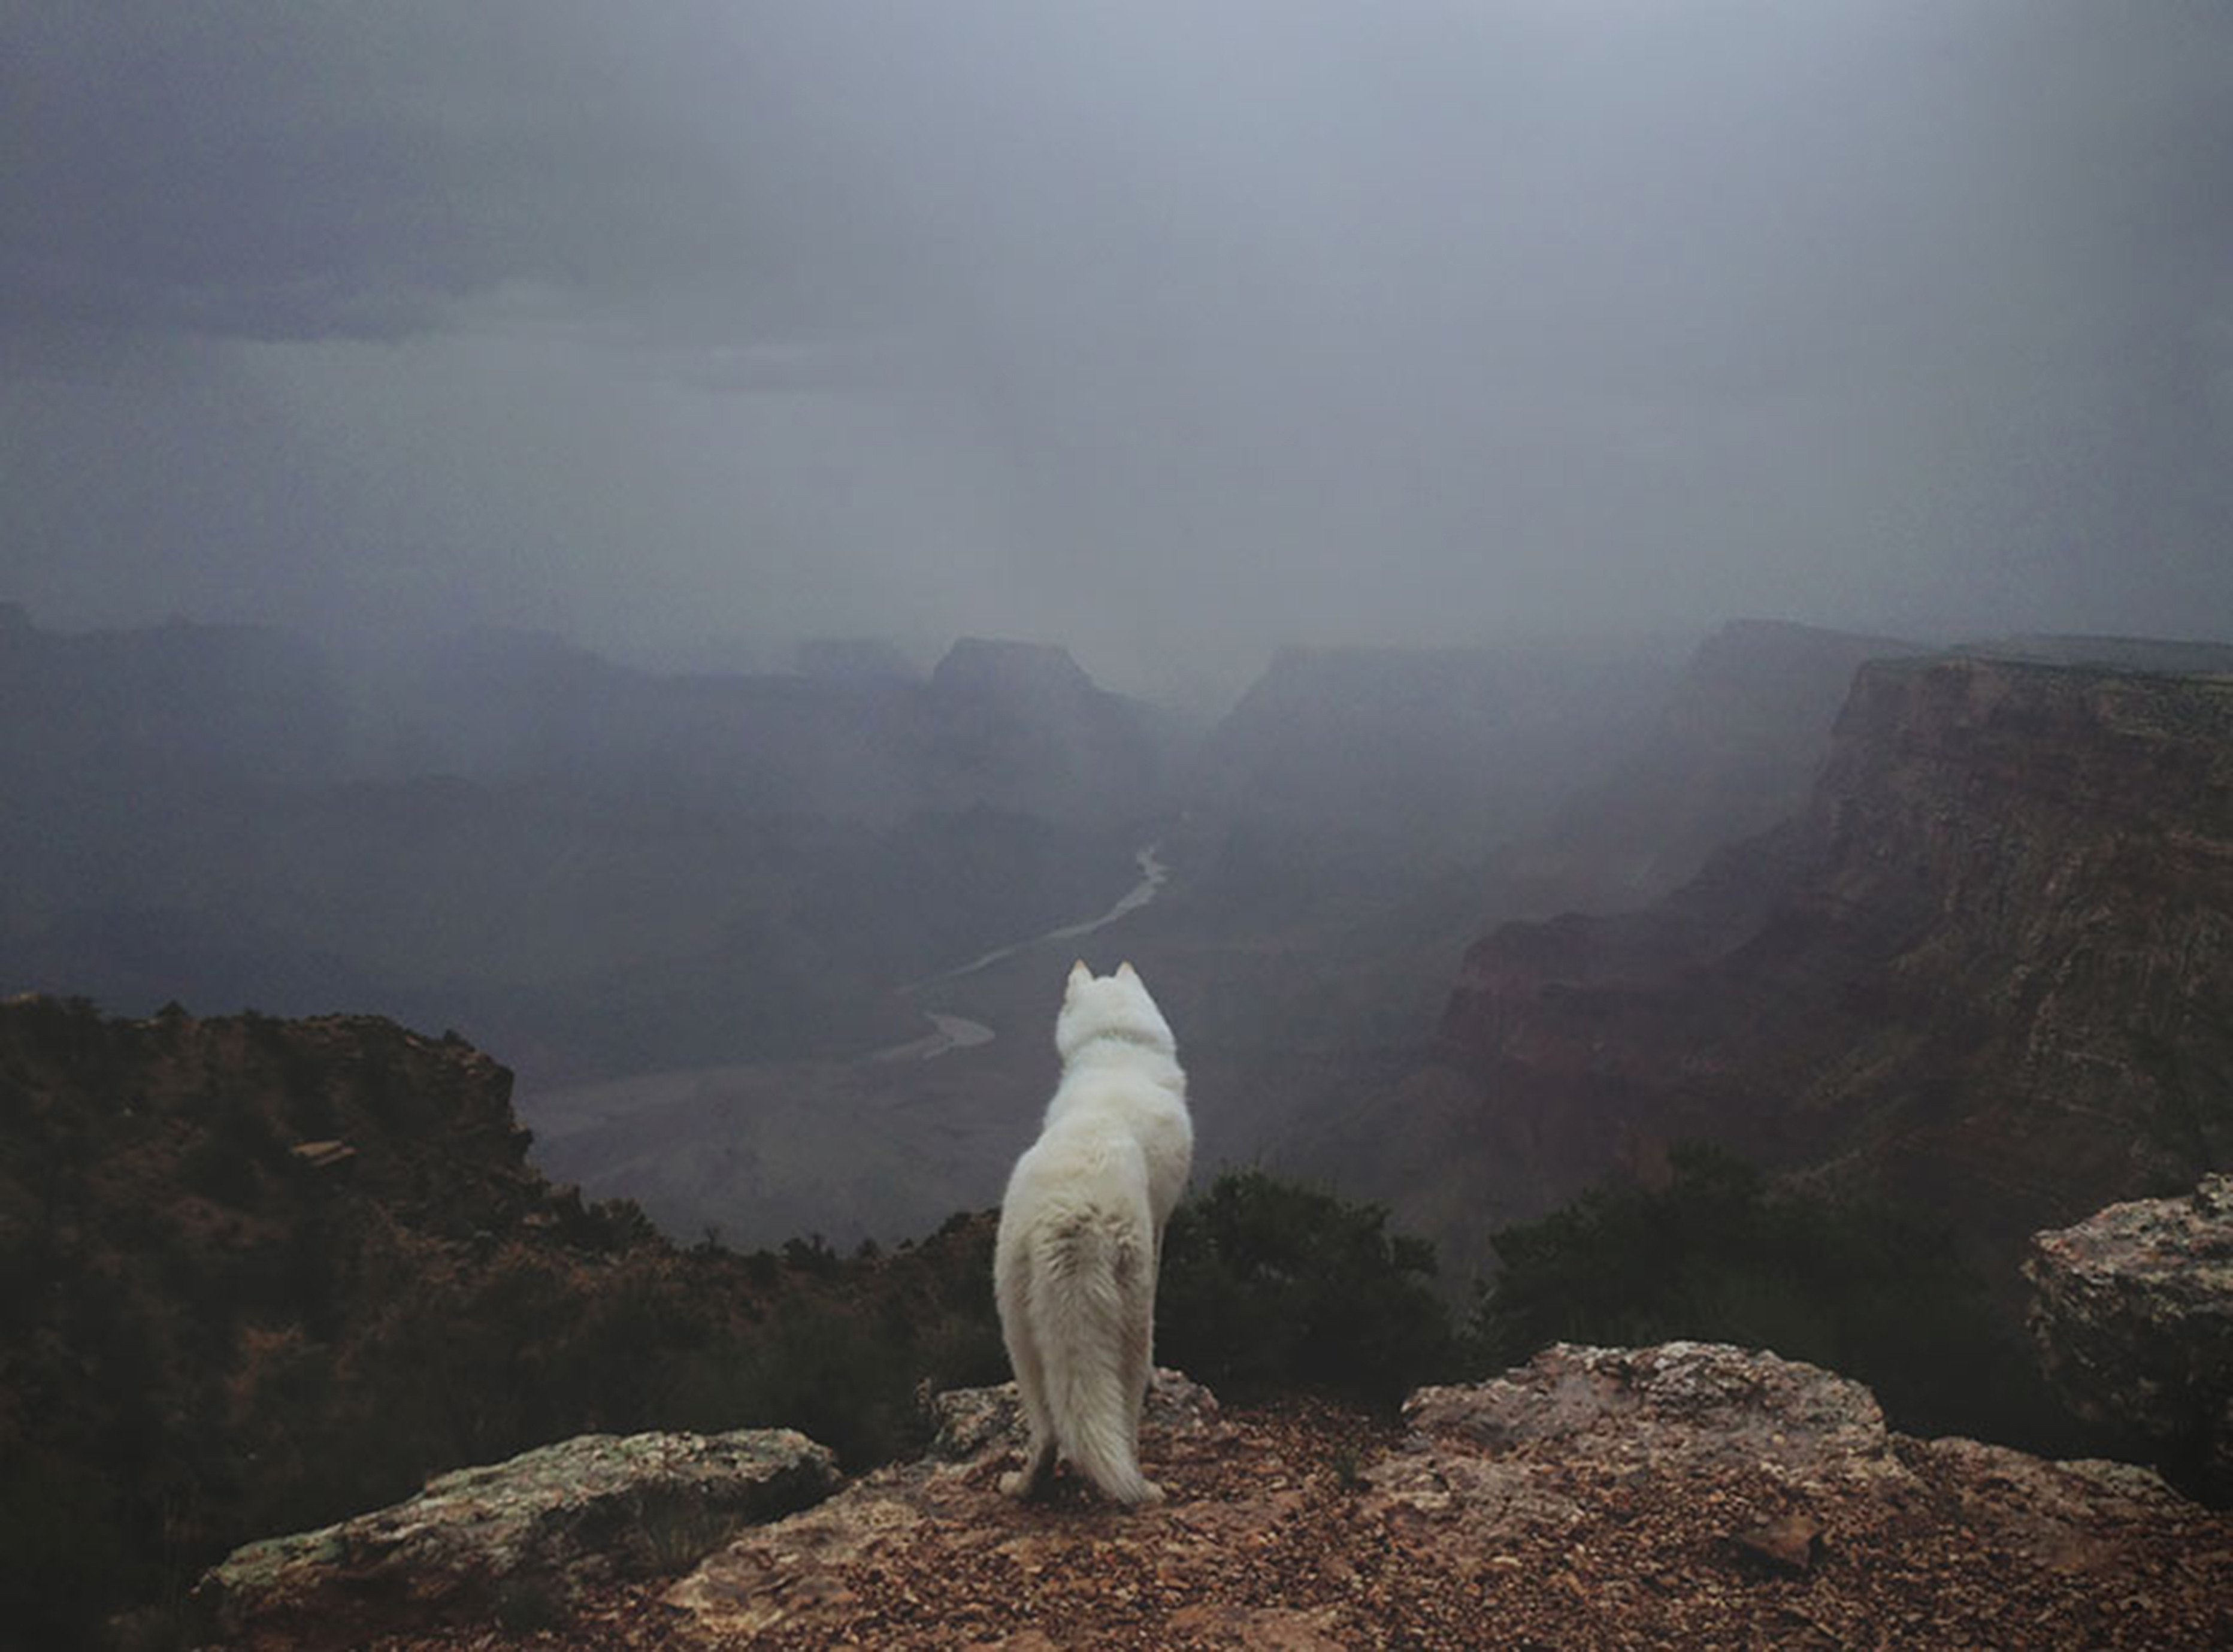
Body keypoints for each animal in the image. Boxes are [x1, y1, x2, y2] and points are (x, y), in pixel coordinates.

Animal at [996, 955, 1197, 1509]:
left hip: (1018, 1332)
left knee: (1046, 1433)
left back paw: (1024, 1486)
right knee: (1119, 1421)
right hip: (1126, 1323)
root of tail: (1066, 1216)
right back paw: (1141, 1484)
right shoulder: (1160, 1231)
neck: (1117, 1044)